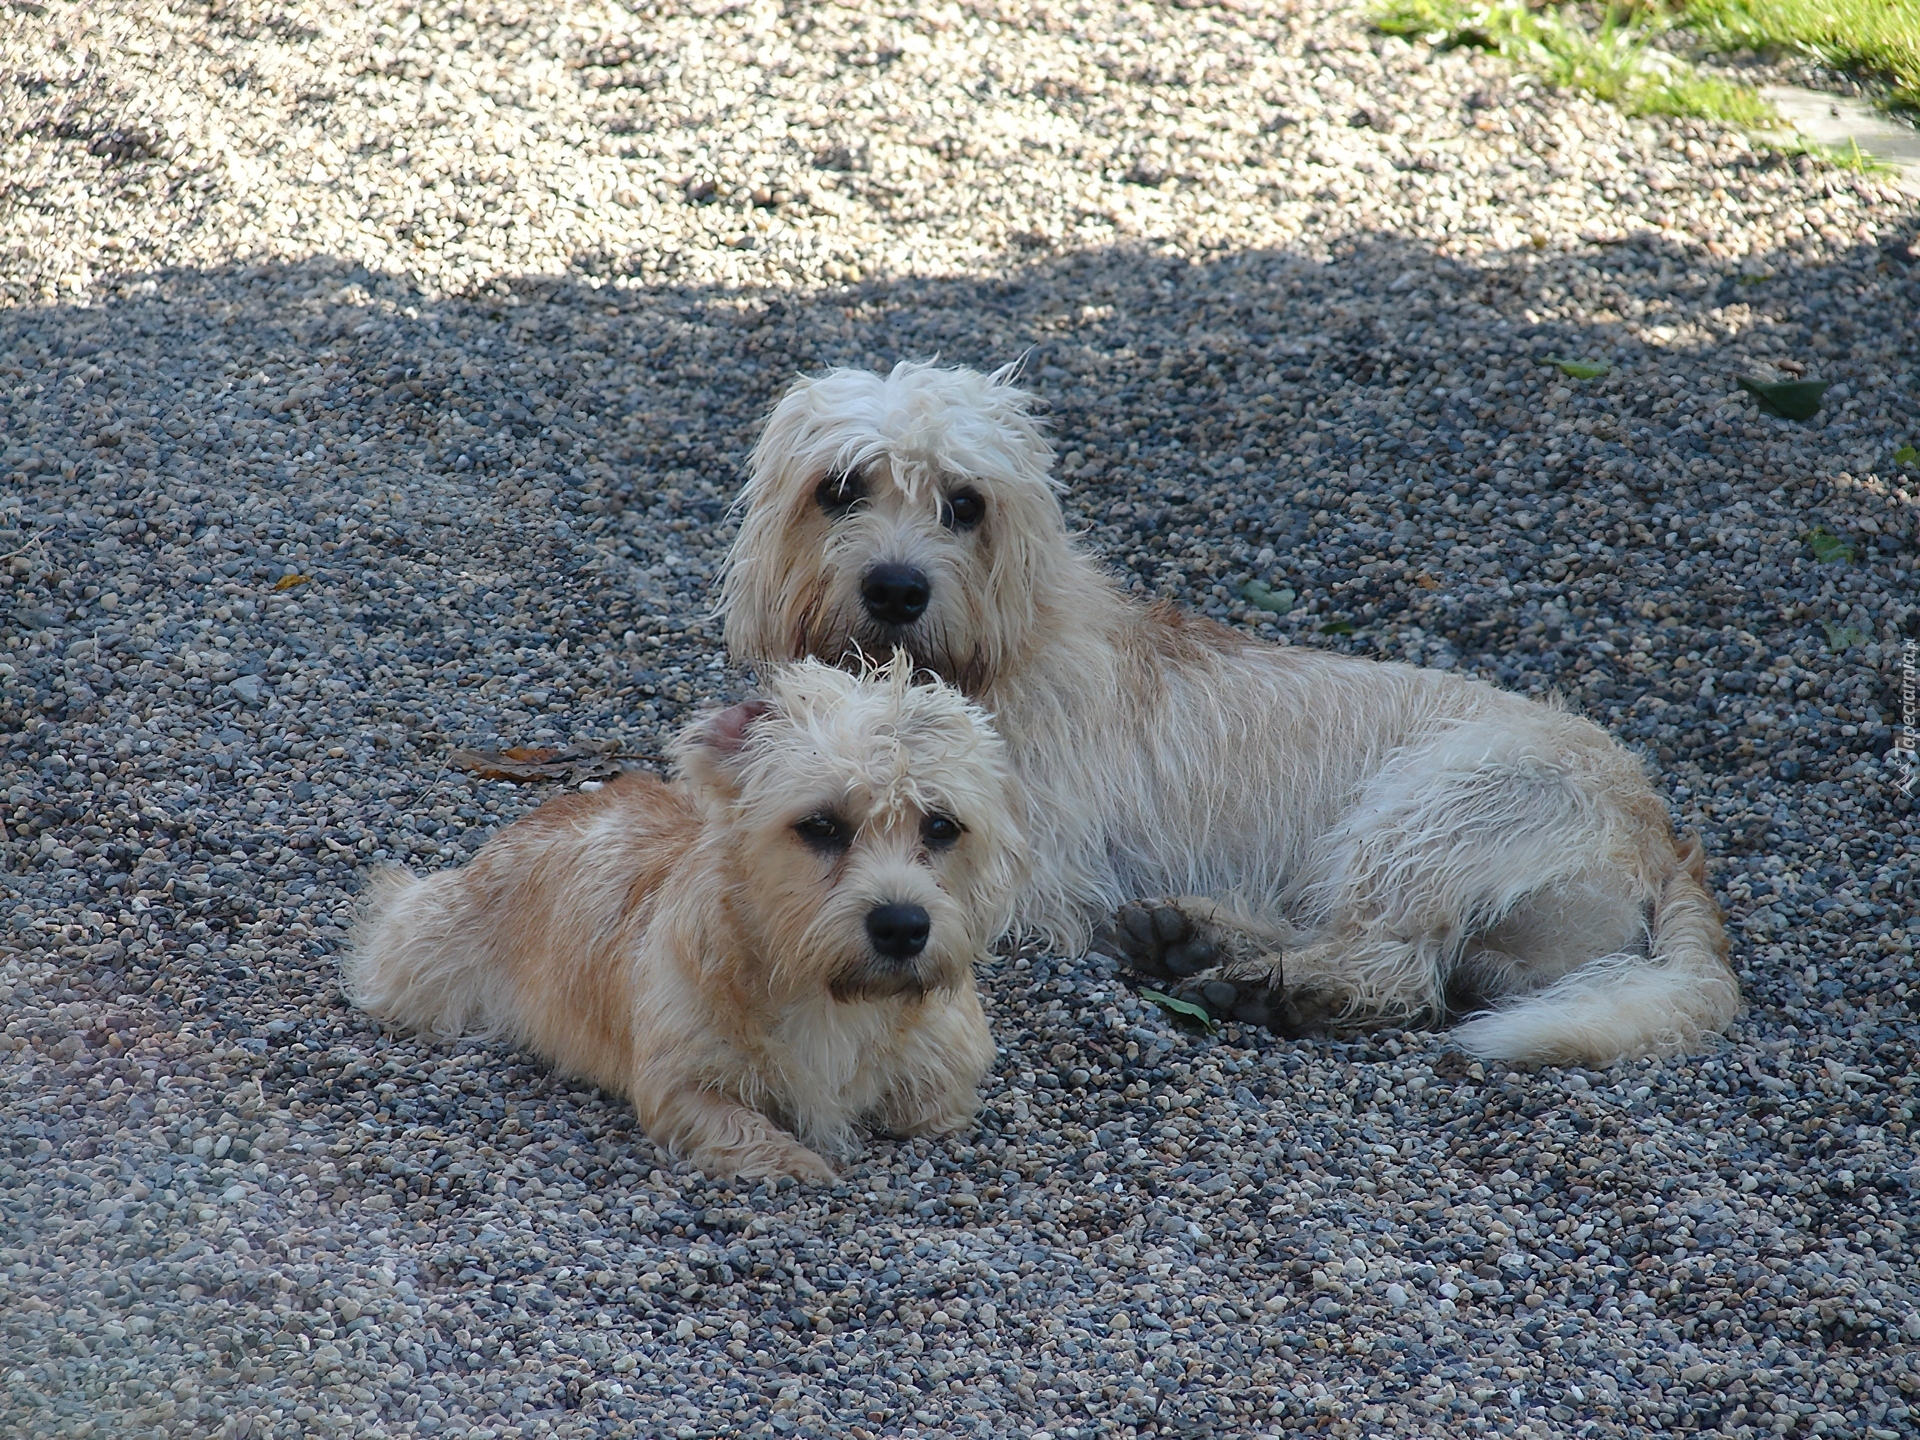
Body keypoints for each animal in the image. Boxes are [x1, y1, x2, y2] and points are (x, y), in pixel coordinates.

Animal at [345, 660, 1036, 1190]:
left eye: (941, 826)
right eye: (820, 825)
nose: (902, 926)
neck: (821, 990)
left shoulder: (947, 1073)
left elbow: (926, 1106)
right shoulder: (679, 1085)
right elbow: (742, 1125)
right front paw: (796, 1162)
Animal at [721, 359, 1743, 1075]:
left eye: (965, 505)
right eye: (839, 489)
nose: (895, 588)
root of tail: (1664, 837)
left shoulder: (1020, 874)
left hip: (1427, 816)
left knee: (1398, 970)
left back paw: (1274, 989)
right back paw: (1199, 939)